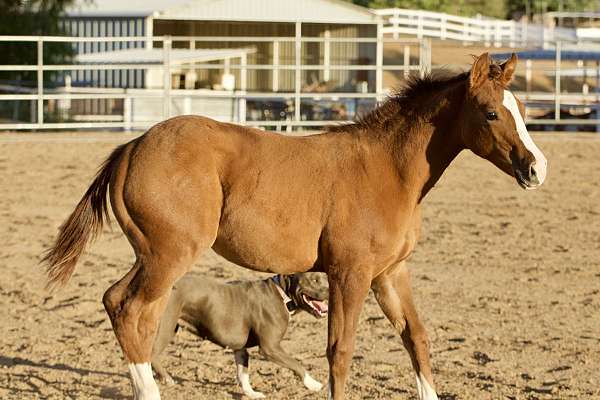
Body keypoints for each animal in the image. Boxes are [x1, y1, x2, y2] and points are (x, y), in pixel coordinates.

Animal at [150, 270, 328, 398]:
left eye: (325, 278)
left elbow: (243, 374)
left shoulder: (240, 349)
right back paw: (166, 379)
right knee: (151, 356)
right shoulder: (270, 348)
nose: (330, 290)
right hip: (165, 328)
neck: (282, 294)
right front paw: (313, 384)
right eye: (314, 280)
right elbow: (296, 364)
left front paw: (252, 394)